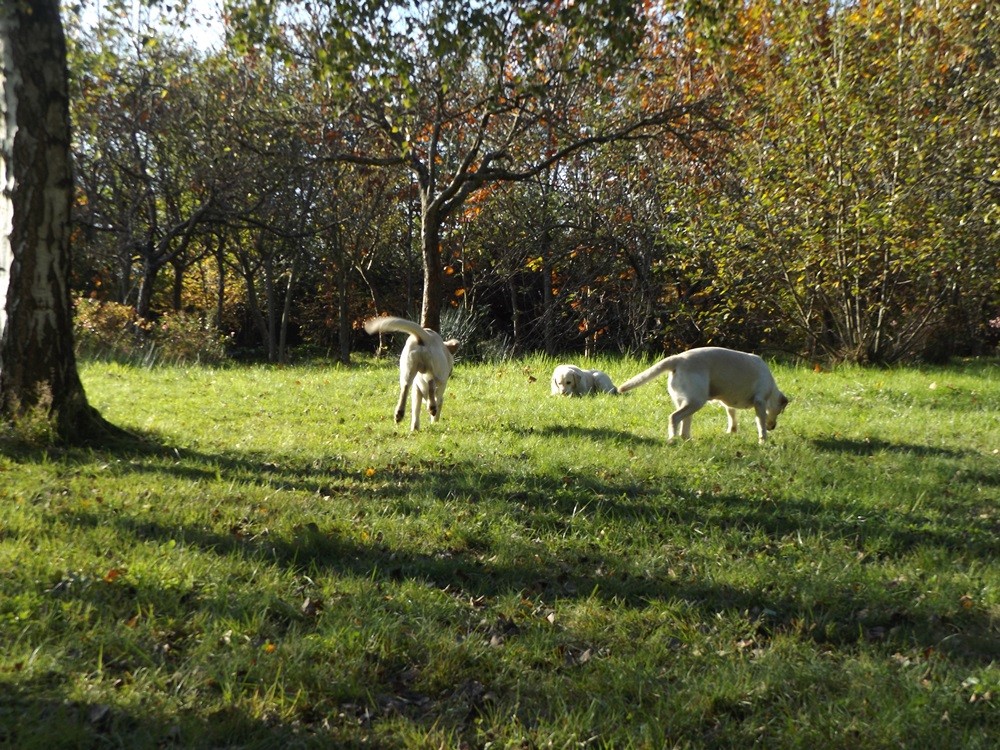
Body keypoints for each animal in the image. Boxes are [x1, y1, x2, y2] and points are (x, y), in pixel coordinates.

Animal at [616, 348, 788, 444]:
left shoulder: (727, 403)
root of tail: (678, 359)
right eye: (780, 411)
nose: (773, 427)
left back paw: (687, 440)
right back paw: (672, 439)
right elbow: (760, 424)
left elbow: (731, 415)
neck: (772, 388)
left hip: (687, 402)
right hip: (696, 401)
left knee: (684, 426)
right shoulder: (760, 403)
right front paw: (763, 440)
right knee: (674, 418)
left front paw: (731, 431)